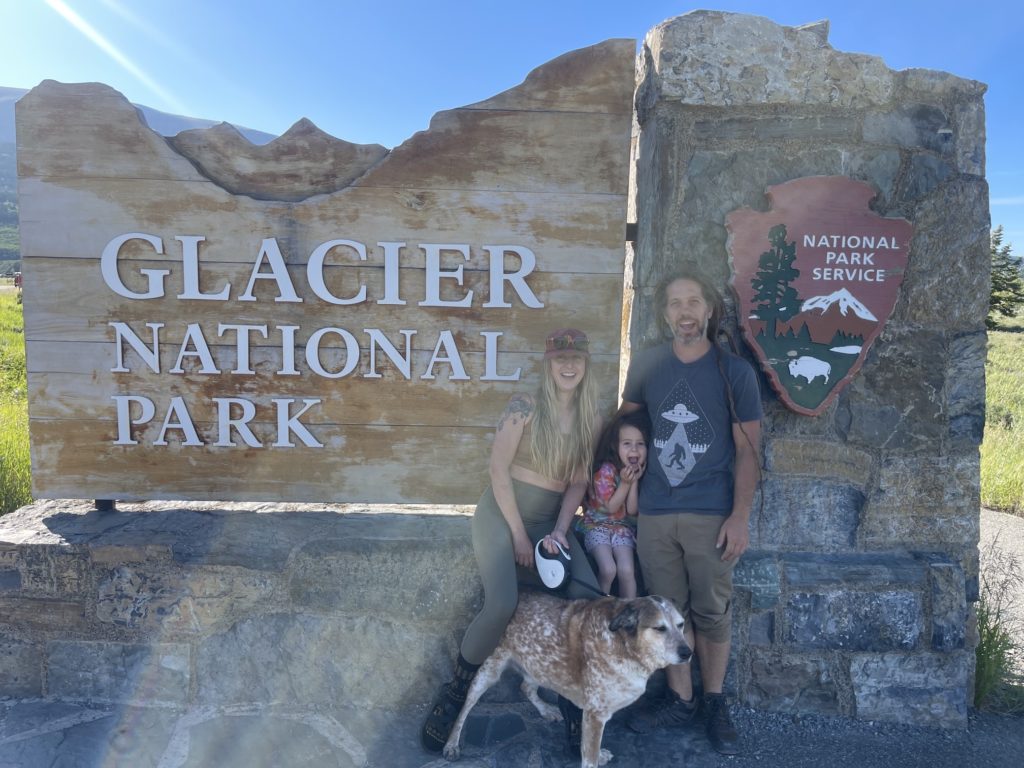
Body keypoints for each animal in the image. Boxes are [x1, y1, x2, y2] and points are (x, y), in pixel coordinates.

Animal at [444, 593, 692, 765]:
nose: (687, 652)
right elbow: (589, 759)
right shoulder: (595, 714)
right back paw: (451, 743)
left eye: (681, 624)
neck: (624, 645)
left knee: (525, 687)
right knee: (466, 706)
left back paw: (546, 710)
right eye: (659, 628)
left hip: (540, 665)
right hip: (488, 671)